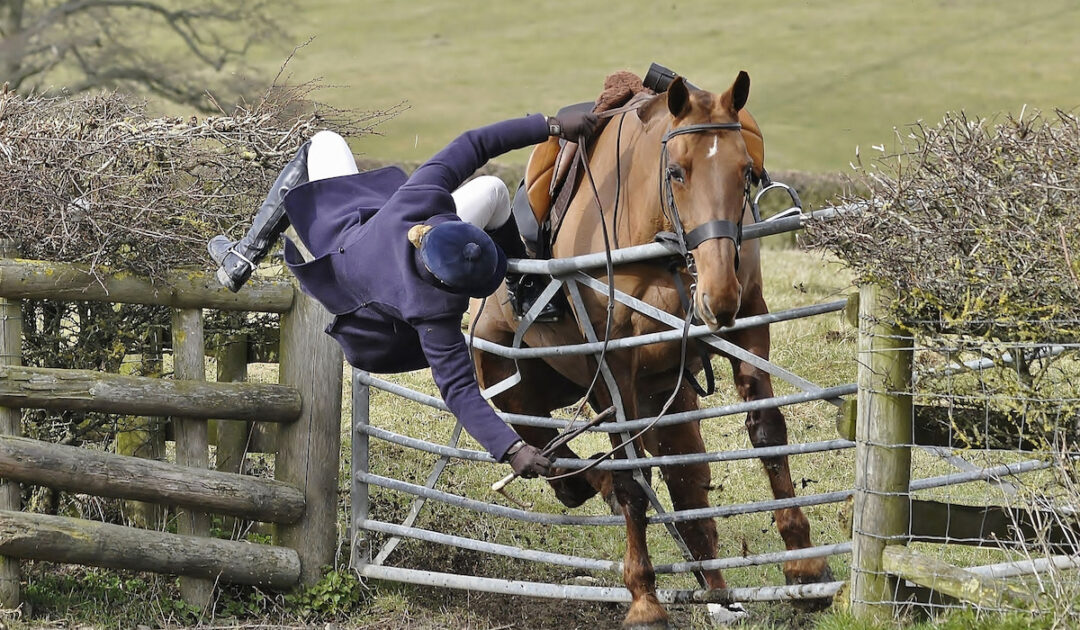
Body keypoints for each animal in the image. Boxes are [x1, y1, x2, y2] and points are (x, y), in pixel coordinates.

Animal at [470, 73, 832, 628]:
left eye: (746, 172)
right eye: (676, 172)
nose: (717, 295)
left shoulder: (748, 326)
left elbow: (769, 434)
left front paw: (804, 569)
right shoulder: (613, 363)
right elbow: (630, 479)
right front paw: (644, 600)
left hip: (667, 394)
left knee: (686, 487)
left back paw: (720, 595)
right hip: (512, 388)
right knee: (563, 462)